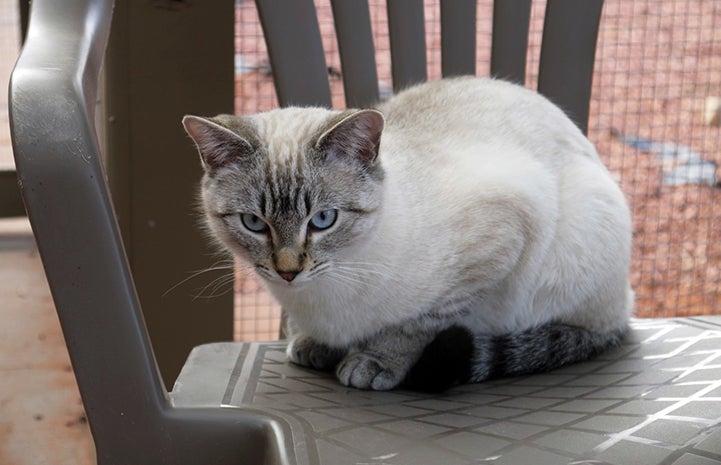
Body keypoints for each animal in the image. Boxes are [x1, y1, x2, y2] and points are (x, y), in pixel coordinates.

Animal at [183, 76, 632, 392]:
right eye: (254, 223)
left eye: (323, 219)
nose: (288, 272)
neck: (320, 295)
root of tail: (626, 307)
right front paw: (314, 345)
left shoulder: (498, 244)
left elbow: (417, 326)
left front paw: (373, 363)